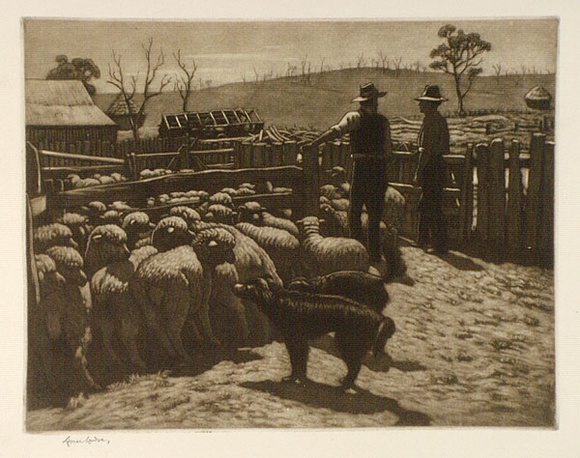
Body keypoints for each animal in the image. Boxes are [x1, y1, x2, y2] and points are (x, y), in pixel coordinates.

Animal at [233, 276, 396, 390]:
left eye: (247, 286)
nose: (234, 286)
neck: (278, 299)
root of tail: (378, 317)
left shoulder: (294, 340)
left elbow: (296, 361)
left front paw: (292, 379)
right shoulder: (301, 342)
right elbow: (301, 362)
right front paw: (300, 379)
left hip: (346, 342)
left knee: (355, 366)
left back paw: (343, 386)